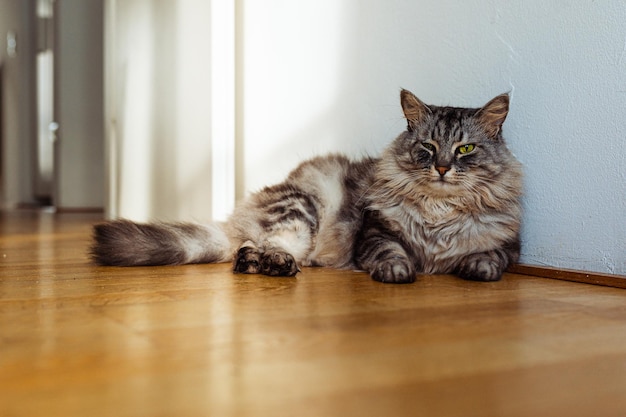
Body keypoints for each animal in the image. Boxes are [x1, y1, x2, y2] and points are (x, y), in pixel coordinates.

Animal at [91, 88, 520, 282]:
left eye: (465, 148)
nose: (443, 168)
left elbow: (491, 257)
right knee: (263, 246)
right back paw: (275, 264)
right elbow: (392, 253)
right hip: (301, 211)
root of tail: (238, 216)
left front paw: (477, 268)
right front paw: (397, 271)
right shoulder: (375, 235)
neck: (439, 215)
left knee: (247, 250)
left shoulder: (508, 246)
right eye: (427, 148)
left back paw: (260, 264)